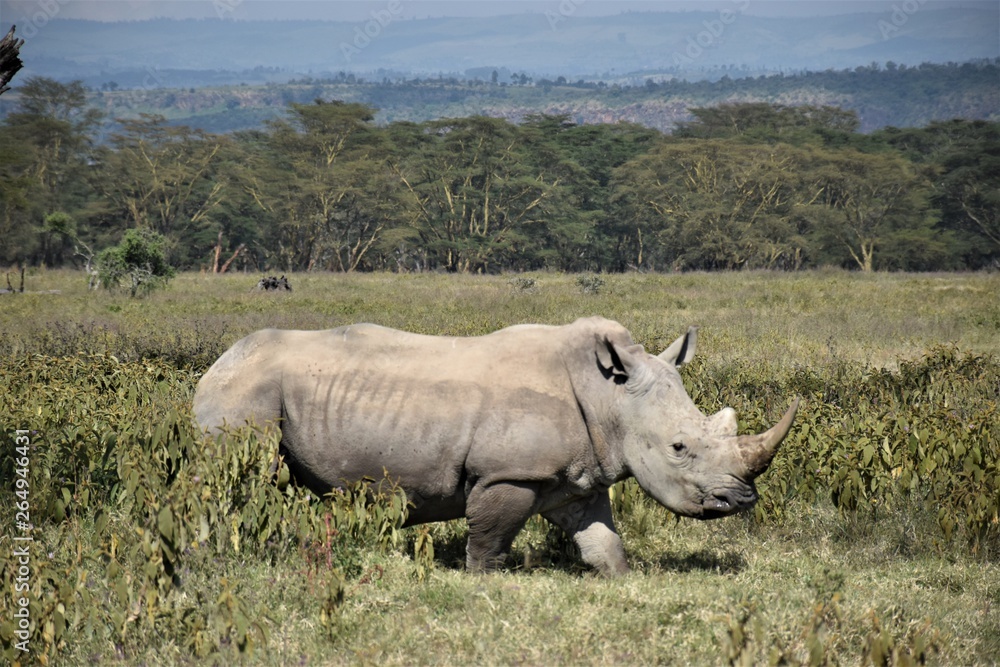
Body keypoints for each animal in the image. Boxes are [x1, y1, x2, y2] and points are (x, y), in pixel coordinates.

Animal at [193, 317, 798, 576]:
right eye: (678, 448)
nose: (741, 501)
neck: (609, 394)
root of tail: (216, 362)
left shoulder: (577, 478)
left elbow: (604, 541)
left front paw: (620, 581)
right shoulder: (508, 473)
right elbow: (489, 540)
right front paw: (481, 583)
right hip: (241, 397)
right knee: (236, 479)